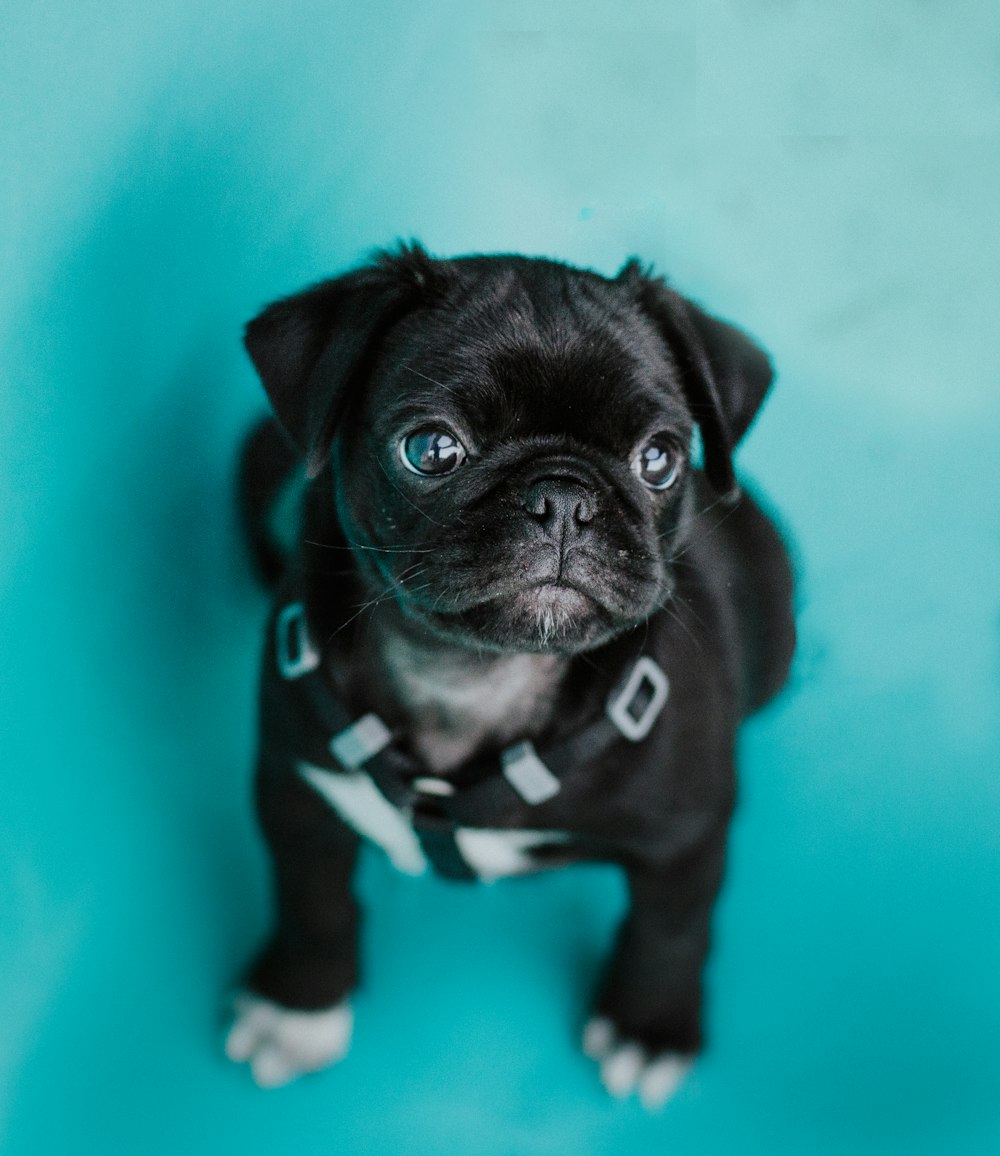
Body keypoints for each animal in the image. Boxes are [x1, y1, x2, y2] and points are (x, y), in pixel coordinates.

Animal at [224, 246, 795, 1109]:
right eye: (431, 449)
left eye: (659, 458)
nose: (562, 497)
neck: (476, 679)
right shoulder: (299, 790)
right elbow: (312, 902)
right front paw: (302, 1005)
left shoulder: (687, 835)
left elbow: (671, 928)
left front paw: (650, 1025)